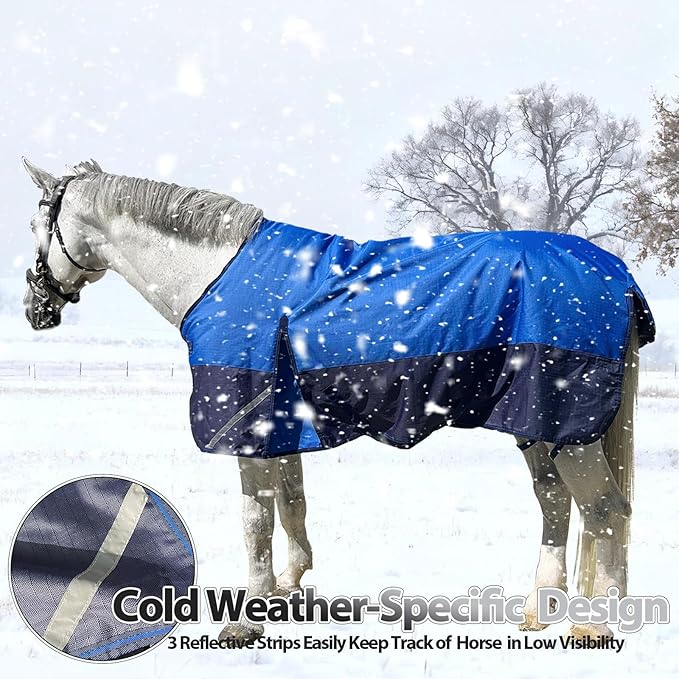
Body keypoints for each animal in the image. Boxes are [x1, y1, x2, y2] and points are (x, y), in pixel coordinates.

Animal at [21, 158, 652, 642]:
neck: (215, 275)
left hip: (568, 428)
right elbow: (292, 502)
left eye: (34, 223)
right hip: (536, 426)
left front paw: (243, 622)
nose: (35, 309)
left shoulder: (247, 426)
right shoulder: (281, 427)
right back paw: (538, 610)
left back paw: (597, 625)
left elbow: (255, 518)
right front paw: (286, 590)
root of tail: (617, 274)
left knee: (603, 511)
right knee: (556, 504)